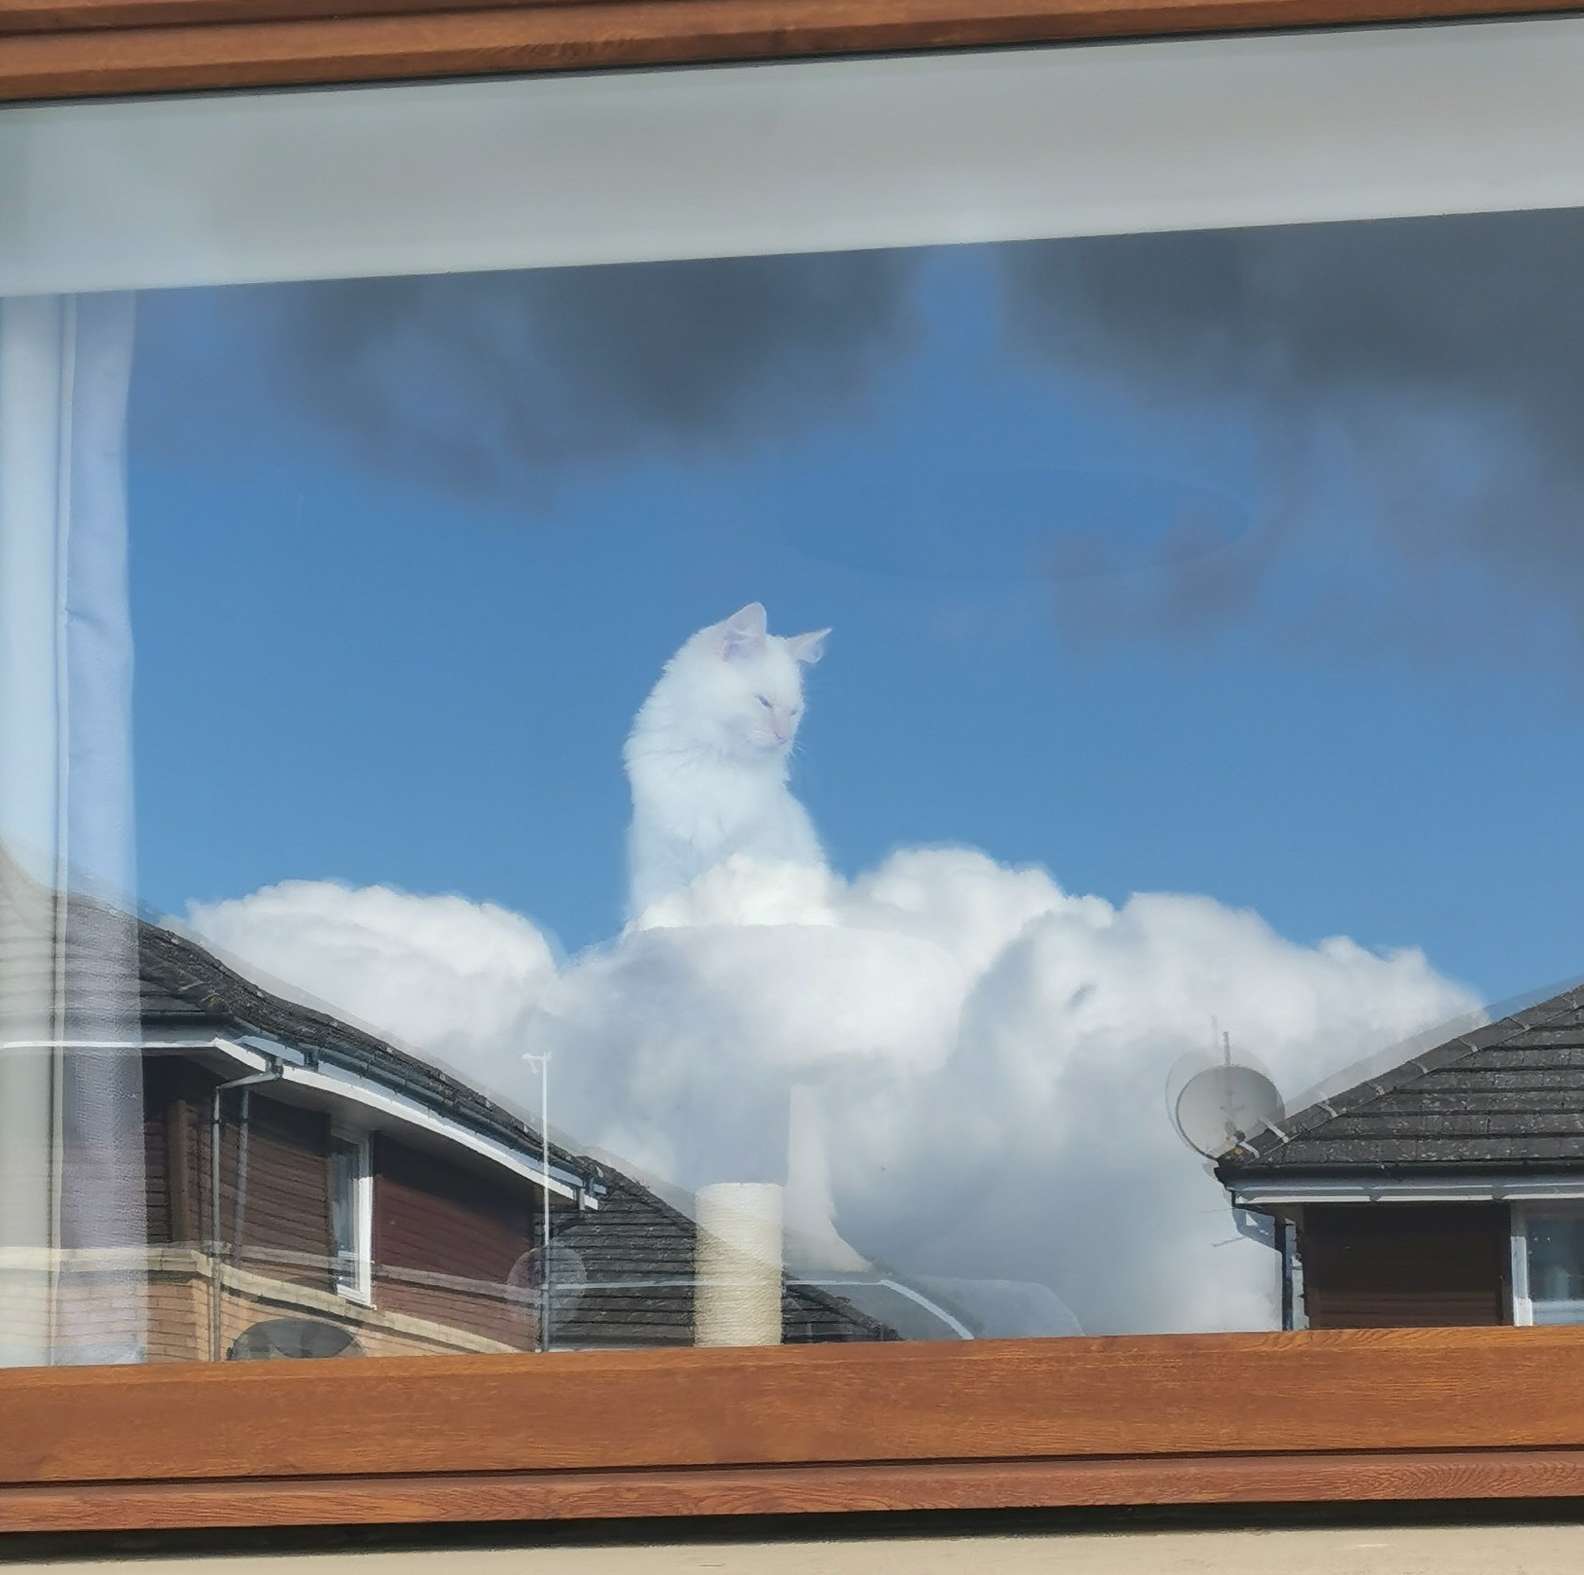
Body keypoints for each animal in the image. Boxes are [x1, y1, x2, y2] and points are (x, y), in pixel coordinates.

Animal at [624, 602, 836, 919]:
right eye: (764, 702)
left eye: (794, 711)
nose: (784, 737)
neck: (715, 765)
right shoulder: (659, 863)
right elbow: (664, 916)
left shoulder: (755, 854)